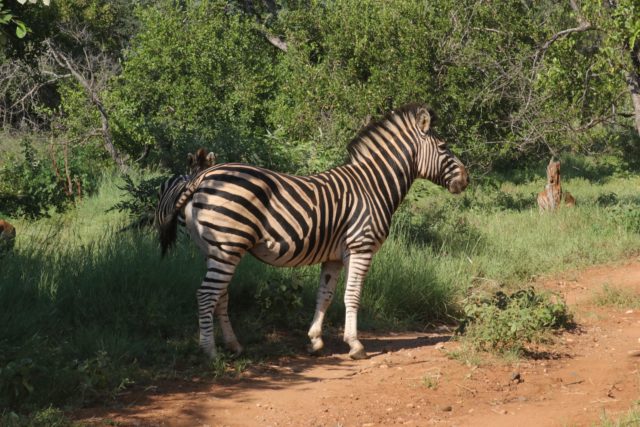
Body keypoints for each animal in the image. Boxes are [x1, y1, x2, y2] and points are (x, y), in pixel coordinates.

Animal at [156, 103, 469, 359]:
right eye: (444, 147)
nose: (466, 179)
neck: (373, 185)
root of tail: (200, 177)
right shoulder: (361, 246)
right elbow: (352, 295)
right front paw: (355, 345)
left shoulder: (333, 256)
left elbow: (325, 295)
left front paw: (315, 341)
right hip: (227, 247)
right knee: (206, 294)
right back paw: (209, 352)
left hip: (214, 249)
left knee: (220, 295)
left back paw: (233, 345)